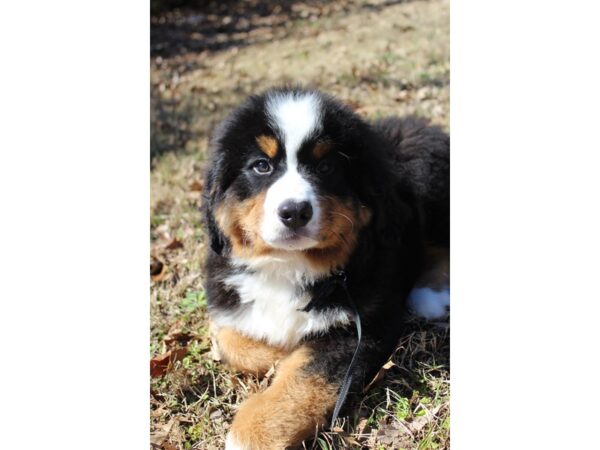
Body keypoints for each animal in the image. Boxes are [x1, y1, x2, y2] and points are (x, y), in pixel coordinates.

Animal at [203, 86, 450, 448]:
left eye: (325, 167)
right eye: (261, 166)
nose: (294, 212)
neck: (289, 265)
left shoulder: (363, 326)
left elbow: (308, 374)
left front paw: (254, 431)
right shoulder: (228, 297)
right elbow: (228, 339)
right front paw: (279, 355)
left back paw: (430, 293)